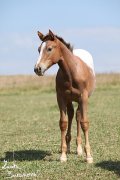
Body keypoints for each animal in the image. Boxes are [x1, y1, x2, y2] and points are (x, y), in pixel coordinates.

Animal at [34, 29, 95, 163]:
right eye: (38, 49)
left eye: (49, 48)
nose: (37, 69)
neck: (72, 73)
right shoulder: (61, 98)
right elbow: (63, 123)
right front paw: (63, 155)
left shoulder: (83, 98)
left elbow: (84, 123)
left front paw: (88, 156)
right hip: (69, 100)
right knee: (72, 114)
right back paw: (69, 146)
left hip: (80, 100)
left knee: (78, 116)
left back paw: (79, 149)